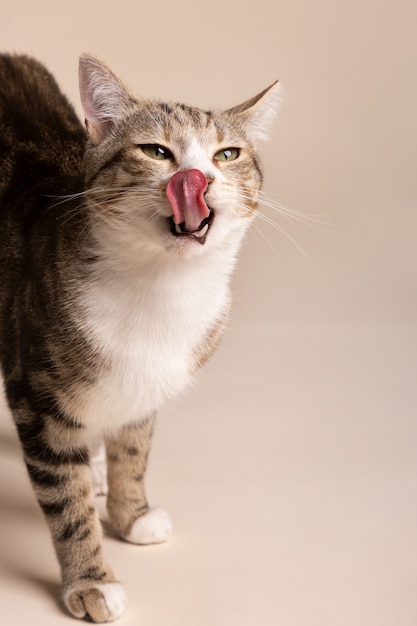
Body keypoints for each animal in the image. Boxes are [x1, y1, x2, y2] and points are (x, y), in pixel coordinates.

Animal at [0, 53, 280, 620]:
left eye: (228, 154)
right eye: (156, 151)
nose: (198, 178)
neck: (161, 289)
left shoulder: (145, 382)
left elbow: (135, 446)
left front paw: (131, 512)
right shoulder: (35, 389)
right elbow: (66, 499)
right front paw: (91, 581)